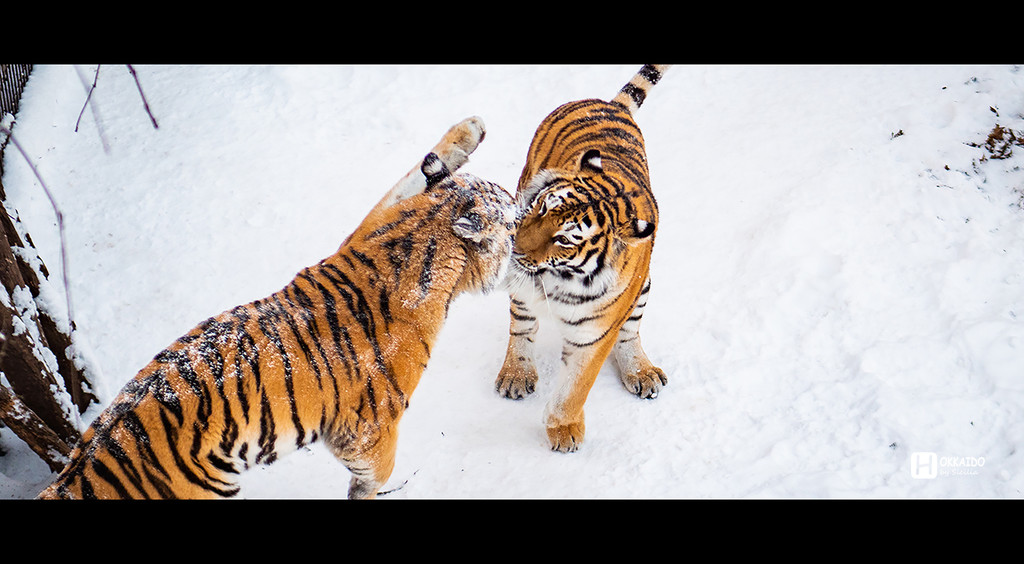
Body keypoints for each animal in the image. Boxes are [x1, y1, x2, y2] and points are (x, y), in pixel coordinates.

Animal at [37, 115, 520, 499]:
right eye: (514, 222)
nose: (526, 212)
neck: (426, 229)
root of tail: (77, 480)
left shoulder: (369, 225)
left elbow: (408, 179)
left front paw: (470, 129)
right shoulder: (367, 429)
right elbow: (374, 475)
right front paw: (374, 490)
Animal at [497, 64, 671, 454]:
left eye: (563, 239)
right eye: (541, 207)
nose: (513, 247)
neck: (563, 279)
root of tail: (610, 104)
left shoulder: (595, 335)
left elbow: (576, 386)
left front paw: (563, 428)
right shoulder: (525, 285)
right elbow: (523, 325)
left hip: (644, 288)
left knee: (631, 333)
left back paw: (641, 372)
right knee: (521, 325)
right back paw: (516, 374)